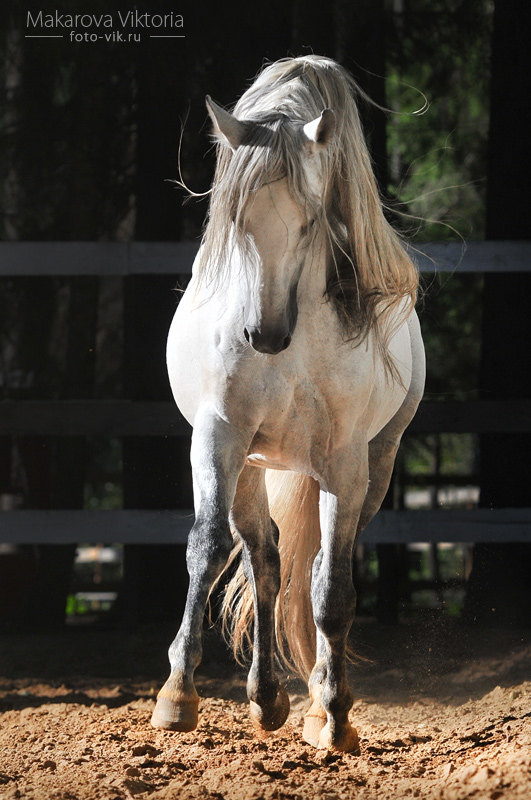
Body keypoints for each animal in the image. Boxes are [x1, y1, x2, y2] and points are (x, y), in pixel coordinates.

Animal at [152, 54, 426, 752]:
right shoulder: (219, 436)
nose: (266, 334)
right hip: (251, 464)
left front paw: (333, 713)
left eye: (309, 222)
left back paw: (312, 703)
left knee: (319, 569)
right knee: (266, 561)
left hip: (374, 464)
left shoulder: (344, 462)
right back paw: (265, 697)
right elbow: (207, 548)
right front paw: (176, 696)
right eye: (235, 218)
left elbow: (330, 588)